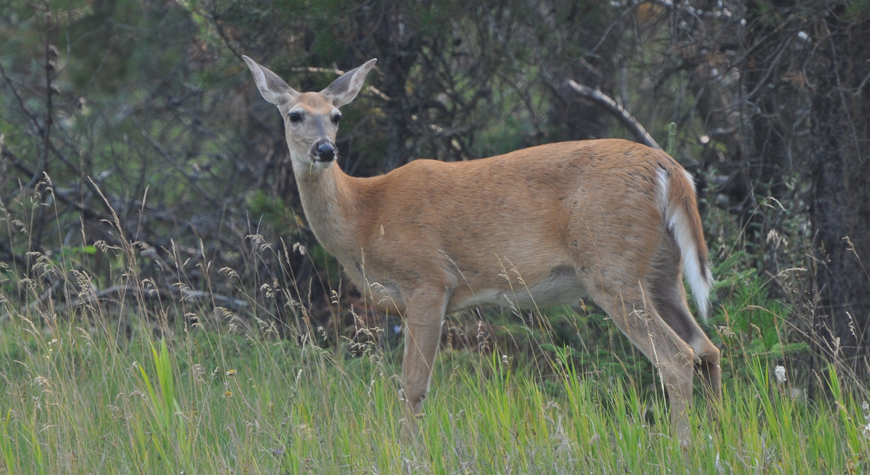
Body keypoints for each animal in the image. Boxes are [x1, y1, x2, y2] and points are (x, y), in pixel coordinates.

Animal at [244, 55, 724, 446]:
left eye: (337, 115)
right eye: (295, 115)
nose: (325, 149)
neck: (365, 216)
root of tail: (671, 170)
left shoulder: (429, 279)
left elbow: (413, 385)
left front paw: (408, 452)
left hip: (612, 266)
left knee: (676, 357)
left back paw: (680, 447)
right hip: (661, 271)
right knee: (706, 348)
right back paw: (714, 438)